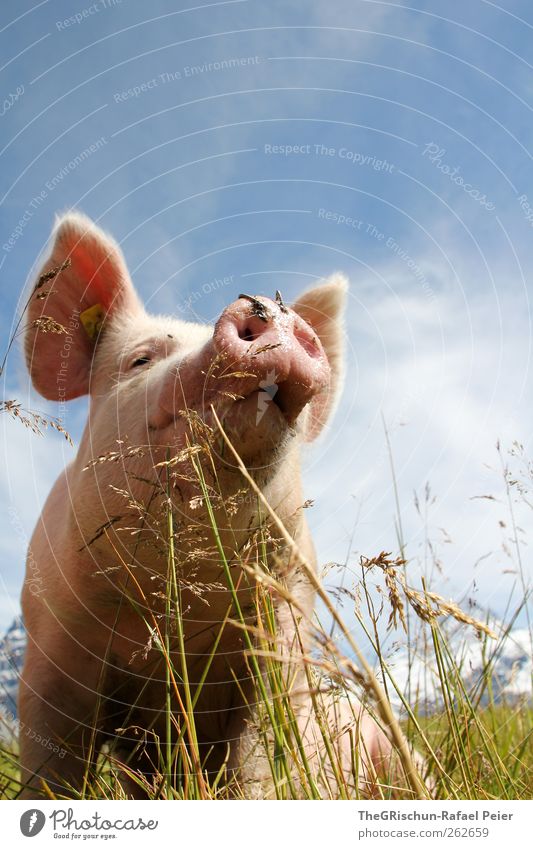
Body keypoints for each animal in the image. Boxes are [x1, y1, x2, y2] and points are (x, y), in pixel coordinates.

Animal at [19, 215, 420, 800]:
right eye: (141, 359)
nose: (268, 308)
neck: (185, 603)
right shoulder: (50, 638)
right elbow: (51, 766)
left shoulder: (281, 630)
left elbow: (256, 761)